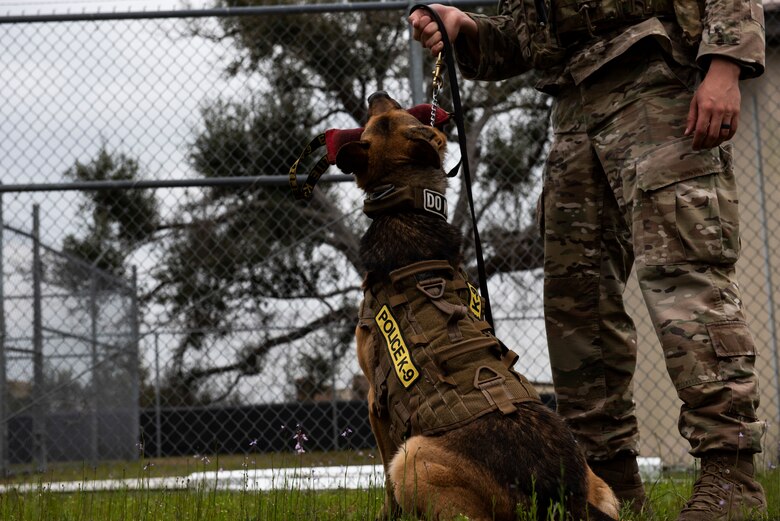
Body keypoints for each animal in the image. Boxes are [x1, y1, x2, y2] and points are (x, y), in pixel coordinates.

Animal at [338, 91, 620, 516]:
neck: (406, 207)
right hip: (603, 488)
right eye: (377, 116)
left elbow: (386, 487)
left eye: (390, 113)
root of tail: (561, 495)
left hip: (413, 456)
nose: (376, 95)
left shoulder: (374, 401)